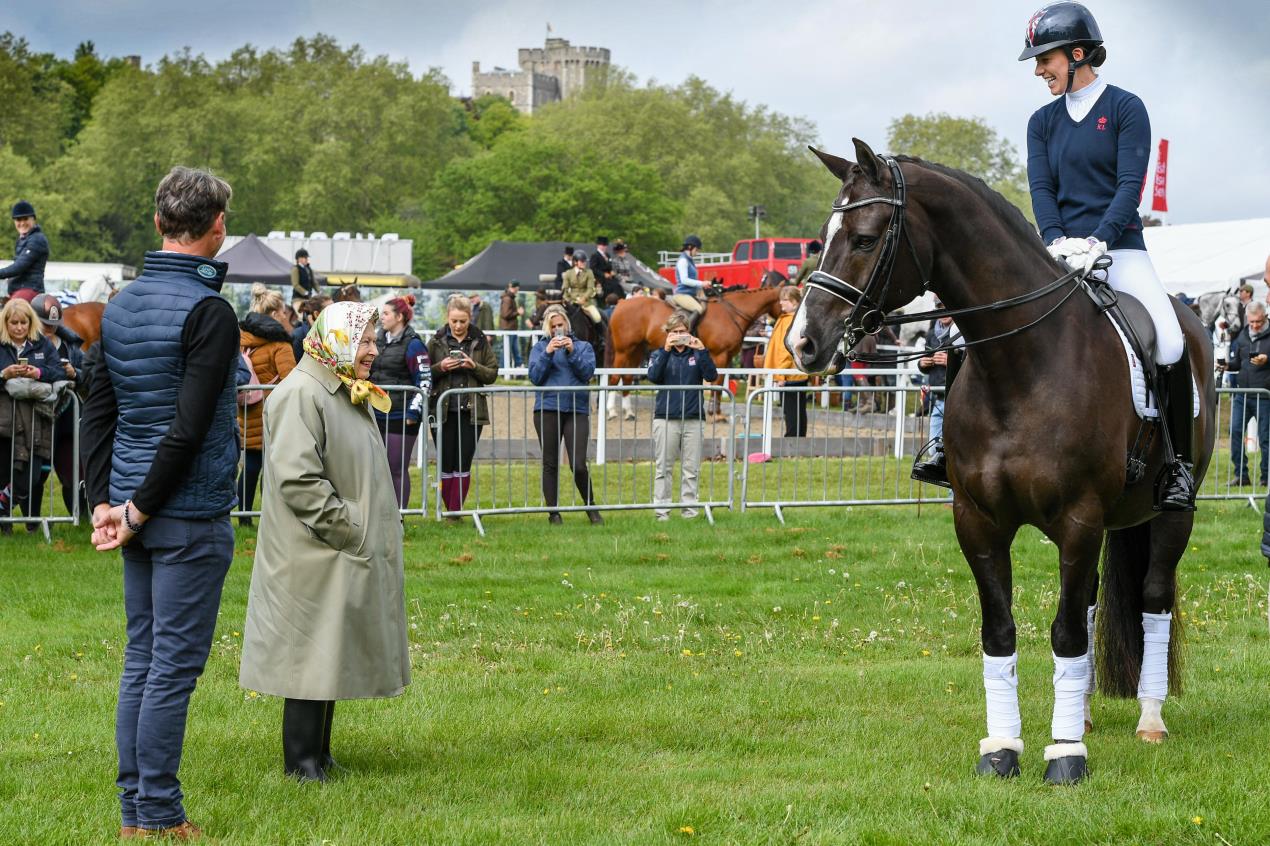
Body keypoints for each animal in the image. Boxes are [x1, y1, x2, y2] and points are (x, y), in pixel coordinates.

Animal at [604, 279, 782, 419]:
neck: (730, 312)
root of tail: (621, 303)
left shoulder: (728, 357)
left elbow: (720, 384)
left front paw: (717, 412)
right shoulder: (720, 355)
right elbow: (716, 383)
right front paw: (714, 414)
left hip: (636, 350)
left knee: (626, 377)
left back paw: (628, 413)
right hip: (623, 351)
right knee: (614, 378)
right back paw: (611, 411)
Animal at [787, 139, 1214, 782]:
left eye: (864, 238)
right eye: (821, 237)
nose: (802, 343)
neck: (1023, 364)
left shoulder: (1080, 519)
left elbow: (1065, 633)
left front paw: (1064, 756)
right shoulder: (978, 521)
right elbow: (1001, 631)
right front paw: (1004, 748)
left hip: (1169, 514)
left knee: (1153, 600)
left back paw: (1149, 719)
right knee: (1093, 603)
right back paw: (1084, 715)